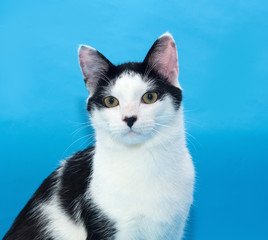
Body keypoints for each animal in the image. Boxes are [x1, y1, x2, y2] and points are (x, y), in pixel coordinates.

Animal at [3, 32, 195, 240]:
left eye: (149, 97)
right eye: (111, 101)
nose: (129, 118)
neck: (142, 160)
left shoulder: (173, 229)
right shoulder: (104, 223)